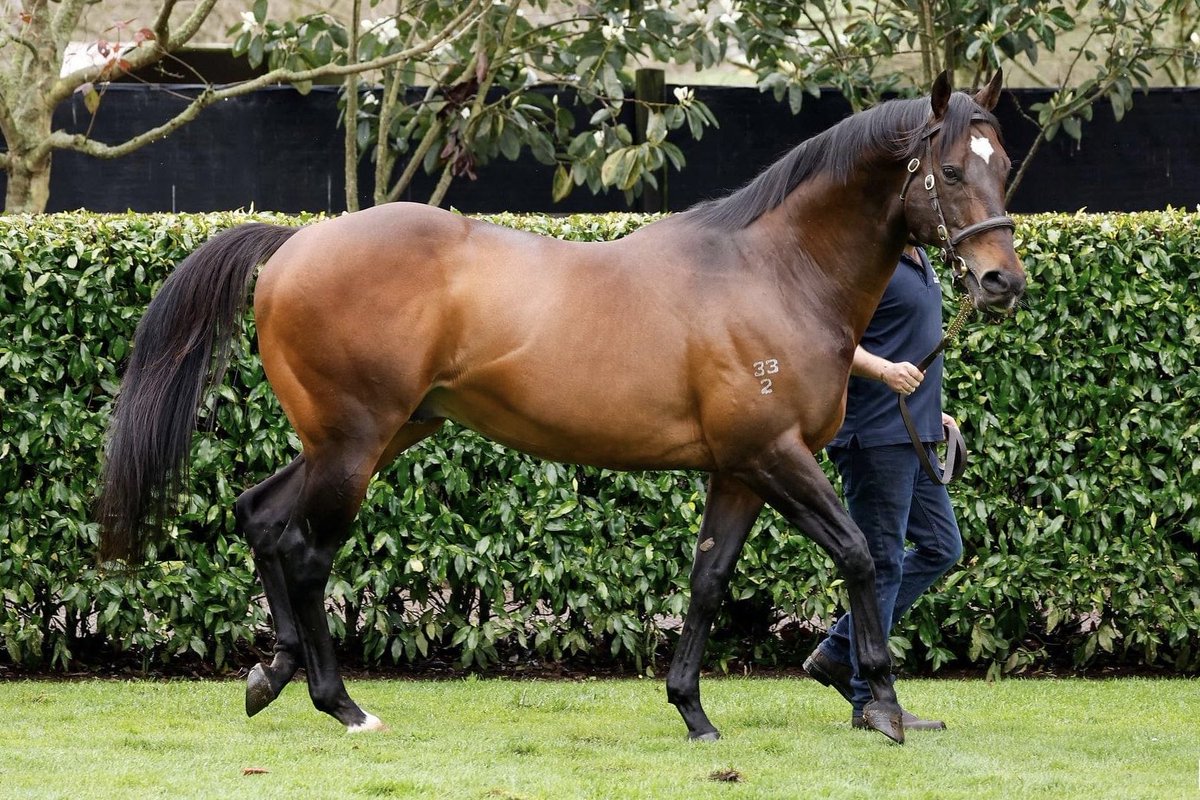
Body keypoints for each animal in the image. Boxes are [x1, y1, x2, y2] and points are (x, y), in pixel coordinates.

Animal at [96, 70, 1025, 745]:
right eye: (949, 170)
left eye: (1003, 166)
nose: (1000, 282)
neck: (772, 273)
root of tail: (299, 241)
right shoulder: (776, 456)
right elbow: (862, 555)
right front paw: (885, 708)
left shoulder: (738, 471)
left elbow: (707, 581)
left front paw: (692, 710)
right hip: (354, 445)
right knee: (305, 550)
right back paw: (344, 705)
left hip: (369, 436)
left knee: (259, 515)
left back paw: (272, 674)